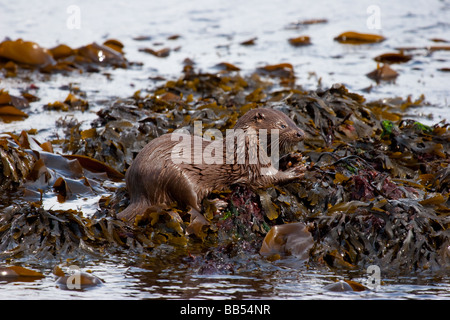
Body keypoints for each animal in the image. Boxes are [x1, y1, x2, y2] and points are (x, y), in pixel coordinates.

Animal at [117, 107, 306, 222]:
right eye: (282, 125)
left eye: (293, 122)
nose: (301, 133)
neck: (246, 145)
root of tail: (138, 192)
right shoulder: (251, 165)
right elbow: (266, 179)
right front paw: (295, 171)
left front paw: (294, 158)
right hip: (176, 177)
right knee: (192, 206)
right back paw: (217, 205)